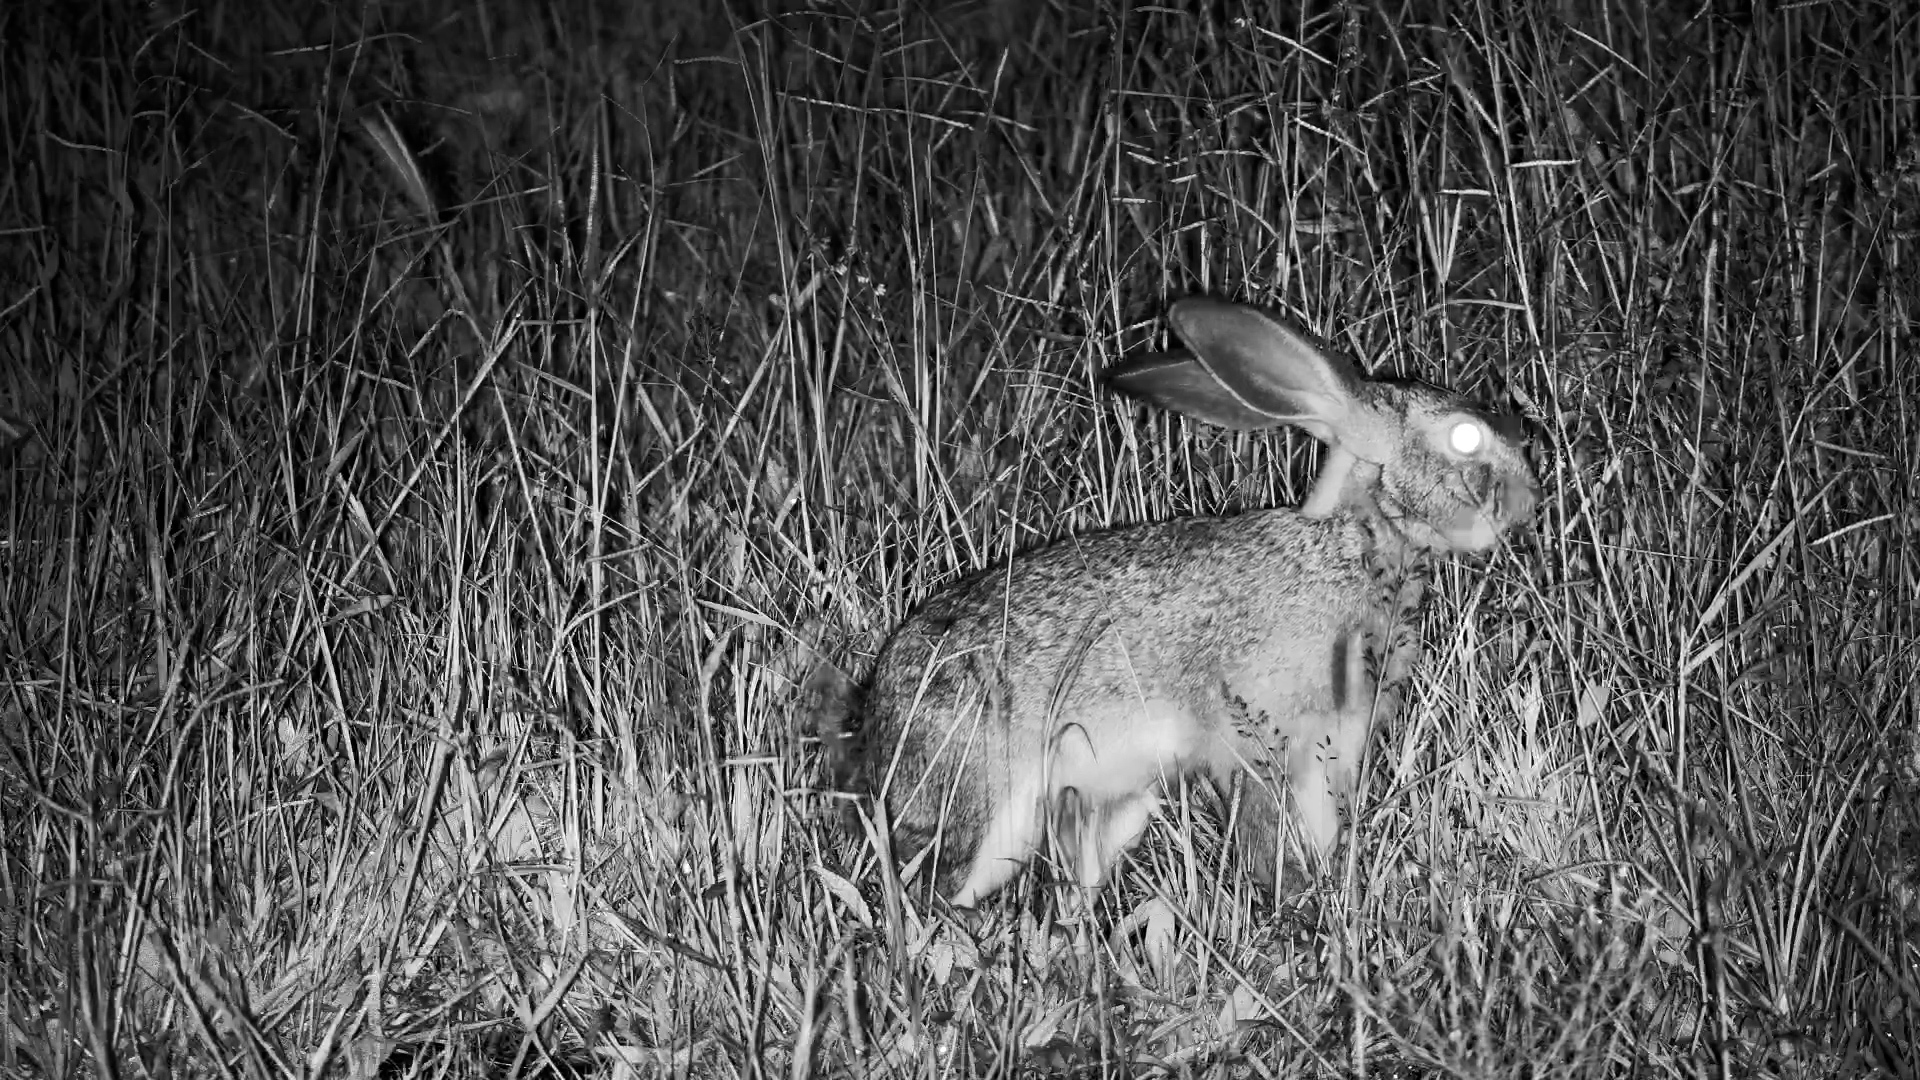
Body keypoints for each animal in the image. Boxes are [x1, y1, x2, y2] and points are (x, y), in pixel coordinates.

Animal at [810, 297, 1540, 908]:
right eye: (1466, 438)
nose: (1529, 496)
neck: (1354, 542)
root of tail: (881, 713)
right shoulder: (1263, 742)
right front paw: (1299, 897)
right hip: (993, 802)